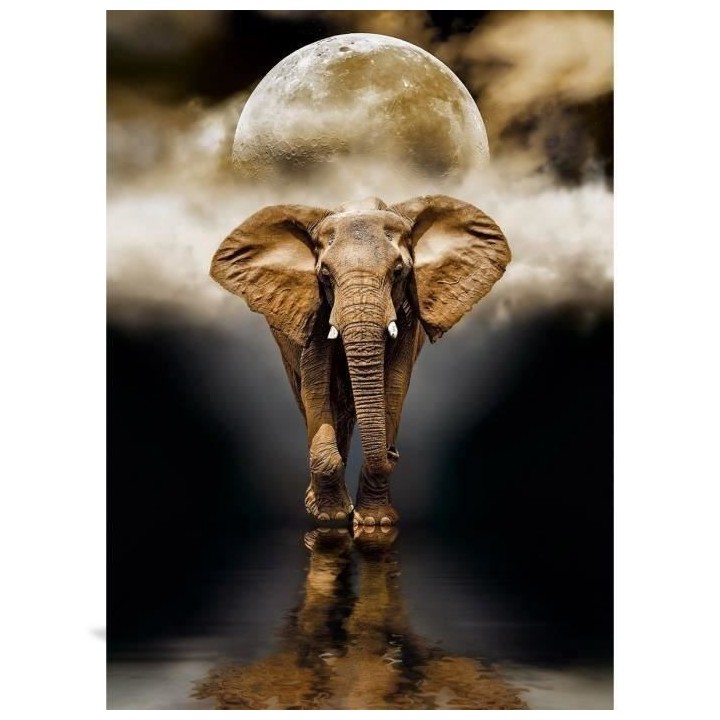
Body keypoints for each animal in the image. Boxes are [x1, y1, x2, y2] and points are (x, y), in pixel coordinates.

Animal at [210, 195, 510, 525]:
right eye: (325, 275)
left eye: (398, 272)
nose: (393, 452)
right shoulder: (316, 308)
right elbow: (316, 383)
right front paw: (330, 518)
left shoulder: (406, 313)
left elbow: (394, 383)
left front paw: (374, 523)